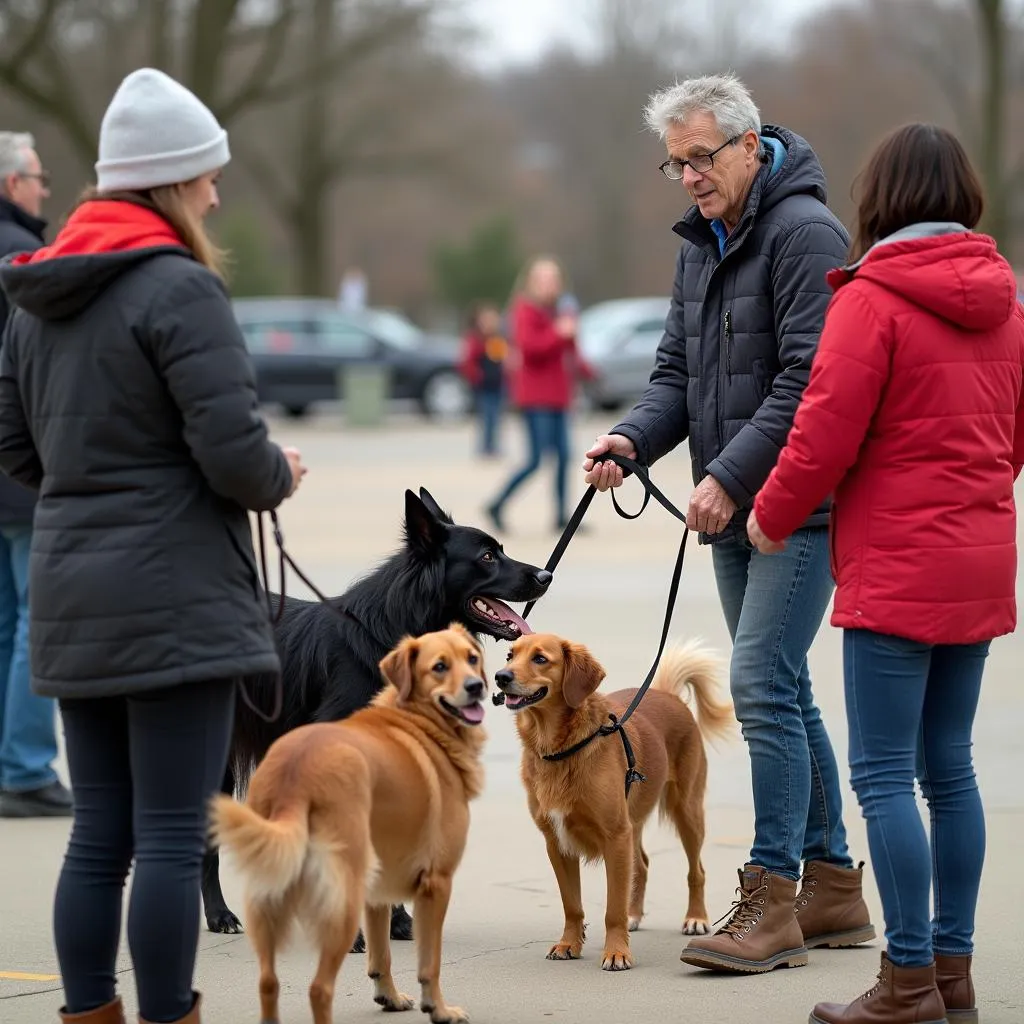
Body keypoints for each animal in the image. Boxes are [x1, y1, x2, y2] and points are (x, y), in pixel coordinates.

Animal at [209, 622, 489, 1024]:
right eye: (439, 667)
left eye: (472, 658)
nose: (477, 686)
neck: (417, 721)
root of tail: (298, 772)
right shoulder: (436, 883)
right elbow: (429, 964)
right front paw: (438, 1008)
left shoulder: (379, 887)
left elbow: (381, 955)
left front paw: (389, 996)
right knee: (319, 989)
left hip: (272, 898)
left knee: (268, 984)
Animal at [495, 626, 737, 970]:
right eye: (510, 655)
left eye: (540, 659)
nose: (500, 676)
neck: (562, 748)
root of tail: (667, 694)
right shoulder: (558, 843)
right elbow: (572, 905)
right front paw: (569, 944)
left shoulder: (615, 836)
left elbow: (613, 909)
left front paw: (617, 952)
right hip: (633, 823)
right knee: (642, 866)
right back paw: (635, 914)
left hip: (687, 812)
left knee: (696, 871)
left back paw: (695, 918)